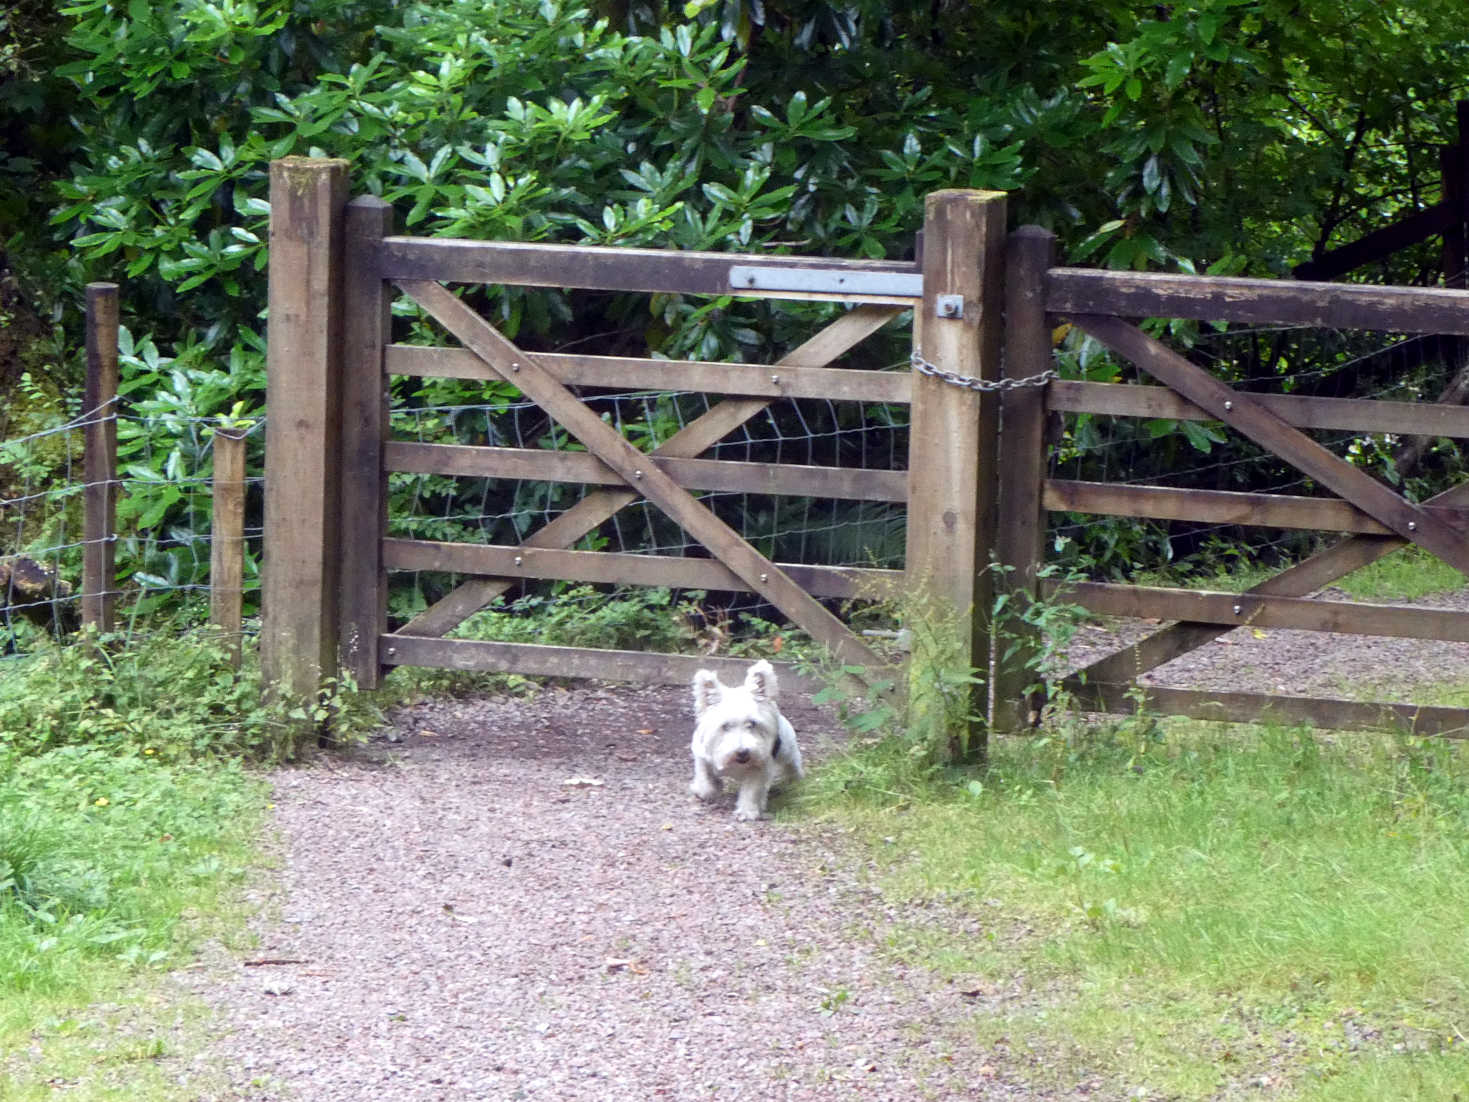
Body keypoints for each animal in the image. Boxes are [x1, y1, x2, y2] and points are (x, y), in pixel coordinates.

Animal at [687, 661, 805, 822]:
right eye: (725, 726)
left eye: (752, 724)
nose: (742, 752)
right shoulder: (701, 754)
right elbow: (704, 776)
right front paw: (706, 789)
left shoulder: (759, 767)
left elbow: (752, 790)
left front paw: (747, 811)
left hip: (787, 750)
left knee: (792, 765)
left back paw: (796, 780)